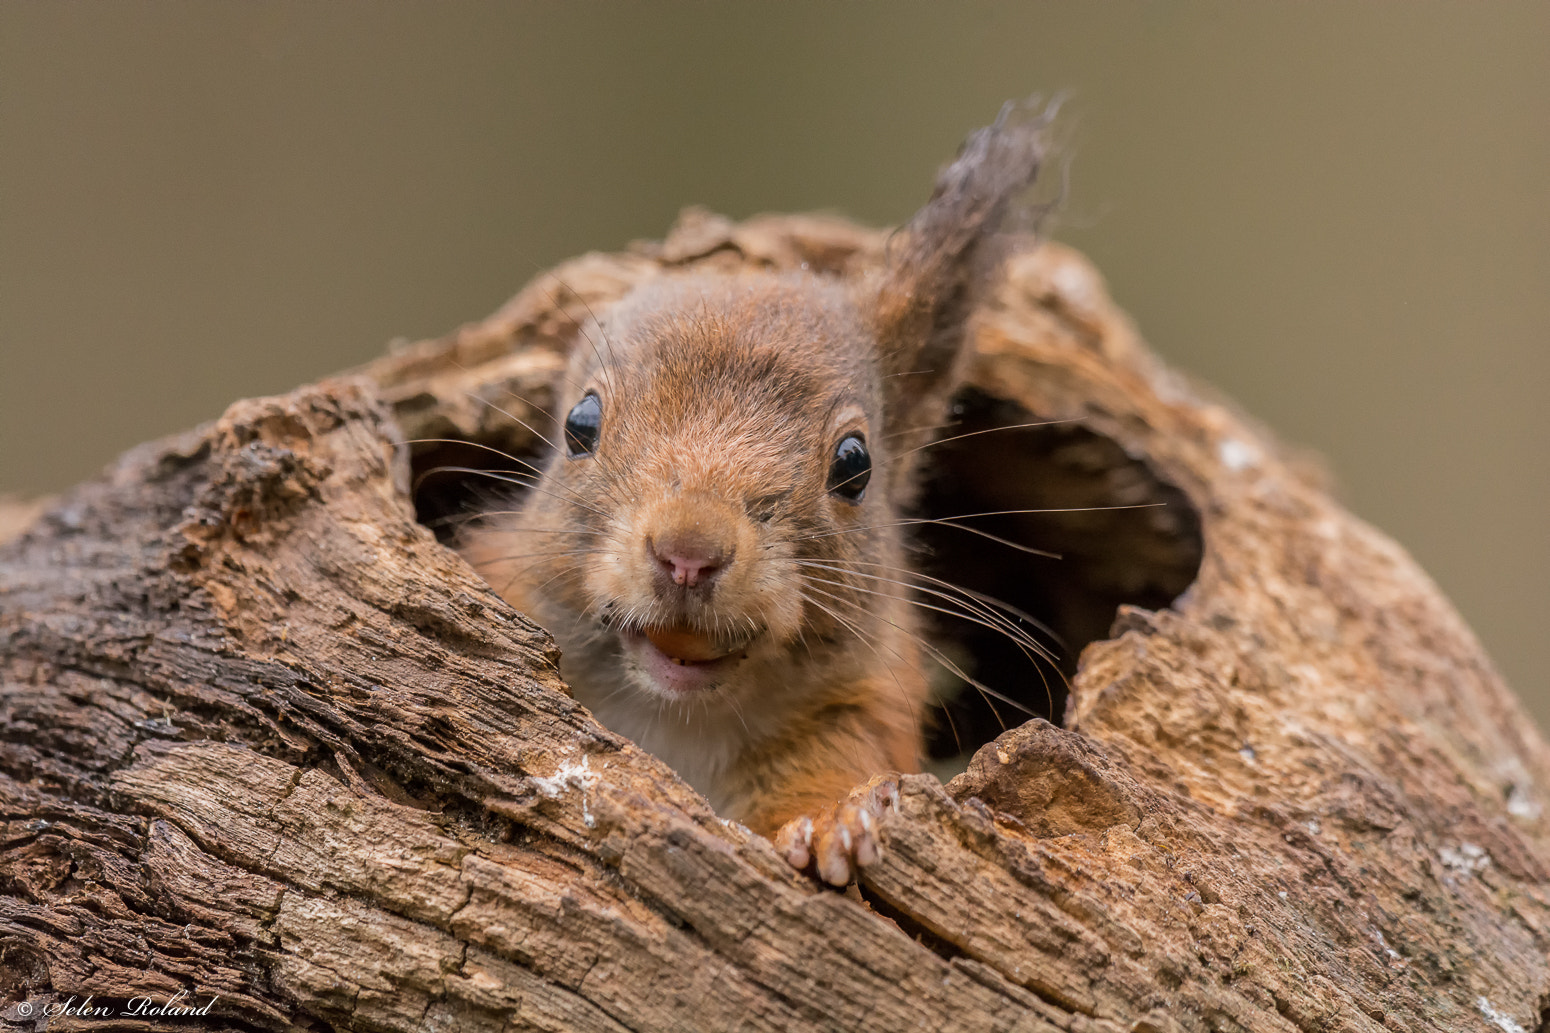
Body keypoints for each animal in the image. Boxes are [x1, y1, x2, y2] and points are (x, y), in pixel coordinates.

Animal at [461, 102, 1054, 874]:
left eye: (855, 465)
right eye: (579, 424)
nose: (688, 553)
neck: (677, 716)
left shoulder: (863, 705)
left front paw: (832, 823)